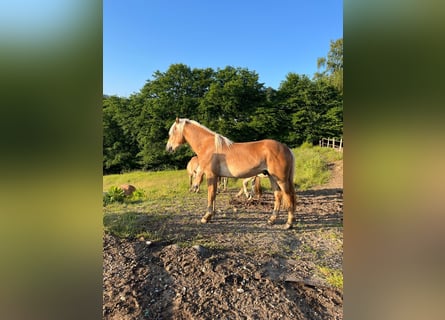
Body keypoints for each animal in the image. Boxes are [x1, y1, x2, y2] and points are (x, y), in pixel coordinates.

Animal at [166, 119, 294, 229]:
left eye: (172, 132)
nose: (168, 148)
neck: (208, 146)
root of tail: (285, 147)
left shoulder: (211, 175)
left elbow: (210, 195)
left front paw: (206, 217)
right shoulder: (216, 176)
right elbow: (214, 195)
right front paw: (212, 215)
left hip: (281, 179)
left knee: (289, 196)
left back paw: (288, 224)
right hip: (272, 178)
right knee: (278, 196)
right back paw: (271, 220)